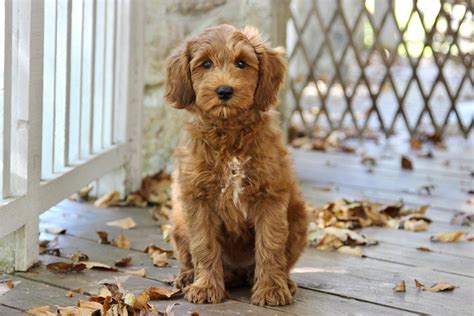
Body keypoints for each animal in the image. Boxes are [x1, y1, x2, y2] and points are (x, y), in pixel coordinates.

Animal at [166, 24, 308, 306]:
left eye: (242, 63)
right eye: (205, 63)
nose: (224, 91)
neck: (229, 134)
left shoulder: (270, 197)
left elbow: (270, 245)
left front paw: (271, 289)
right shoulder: (197, 198)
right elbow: (204, 245)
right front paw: (206, 287)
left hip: (299, 216)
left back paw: (282, 281)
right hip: (178, 222)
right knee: (190, 257)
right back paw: (189, 276)